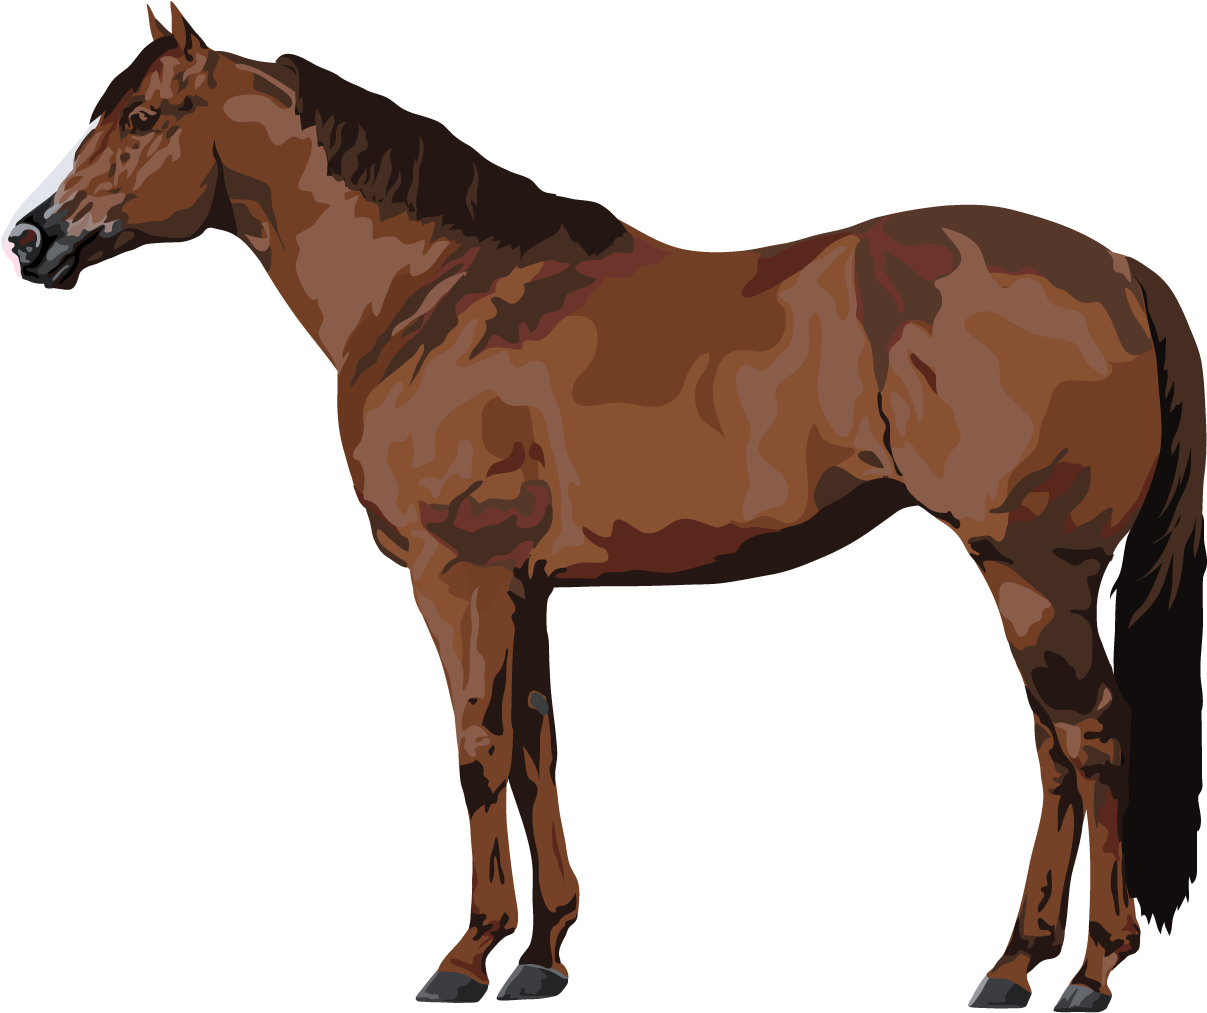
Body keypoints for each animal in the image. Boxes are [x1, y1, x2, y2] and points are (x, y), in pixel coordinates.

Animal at [8, 6, 1202, 1007]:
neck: (433, 294)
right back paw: (1013, 964)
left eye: (143, 116)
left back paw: (1086, 972)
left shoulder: (458, 577)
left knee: (1092, 736)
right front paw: (542, 957)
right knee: (1055, 748)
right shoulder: (524, 585)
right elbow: (538, 750)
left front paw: (465, 958)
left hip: (1030, 568)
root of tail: (1116, 265)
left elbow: (479, 747)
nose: (26, 238)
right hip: (1026, 575)